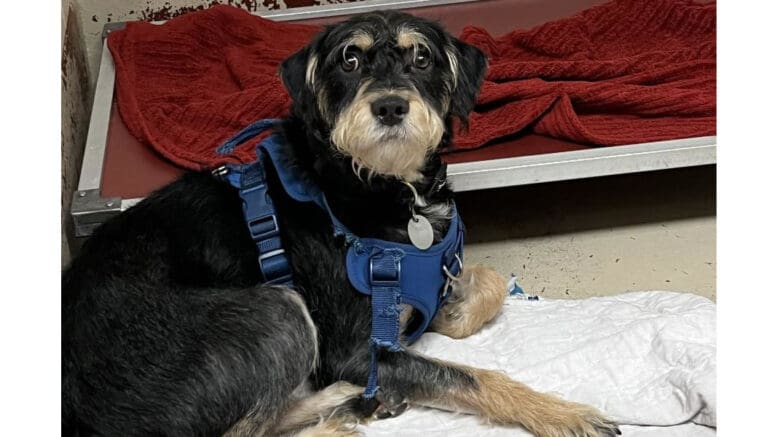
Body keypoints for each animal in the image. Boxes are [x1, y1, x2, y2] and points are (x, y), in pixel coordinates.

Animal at [60, 10, 620, 436]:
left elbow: (488, 284)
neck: (384, 190)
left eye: (421, 57)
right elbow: (471, 377)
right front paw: (561, 413)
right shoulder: (357, 352)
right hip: (276, 314)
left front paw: (451, 314)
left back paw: (355, 402)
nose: (390, 106)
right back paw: (342, 411)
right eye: (349, 60)